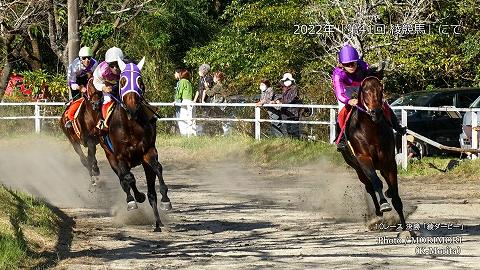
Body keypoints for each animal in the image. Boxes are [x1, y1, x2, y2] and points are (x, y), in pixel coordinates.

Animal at [98, 57, 172, 232]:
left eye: (140, 80)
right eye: (123, 81)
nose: (132, 106)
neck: (131, 124)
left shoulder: (149, 152)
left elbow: (157, 168)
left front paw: (166, 200)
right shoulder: (120, 157)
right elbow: (128, 178)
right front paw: (135, 199)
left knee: (151, 191)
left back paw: (158, 223)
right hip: (110, 157)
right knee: (124, 179)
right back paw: (133, 198)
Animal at [338, 76, 408, 230]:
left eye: (381, 89)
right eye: (365, 91)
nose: (376, 112)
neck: (371, 131)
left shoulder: (389, 161)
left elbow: (395, 191)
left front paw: (405, 226)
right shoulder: (364, 159)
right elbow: (376, 182)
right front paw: (384, 205)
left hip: (381, 166)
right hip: (358, 169)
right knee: (369, 186)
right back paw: (377, 212)